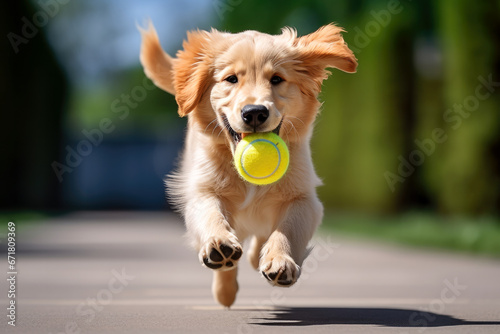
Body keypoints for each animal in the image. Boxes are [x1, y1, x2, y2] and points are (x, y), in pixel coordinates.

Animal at [140, 22, 356, 306]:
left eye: (276, 79)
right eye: (231, 79)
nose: (254, 112)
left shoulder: (303, 197)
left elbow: (288, 229)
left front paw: (280, 261)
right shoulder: (203, 189)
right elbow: (210, 213)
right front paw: (219, 244)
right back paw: (225, 287)